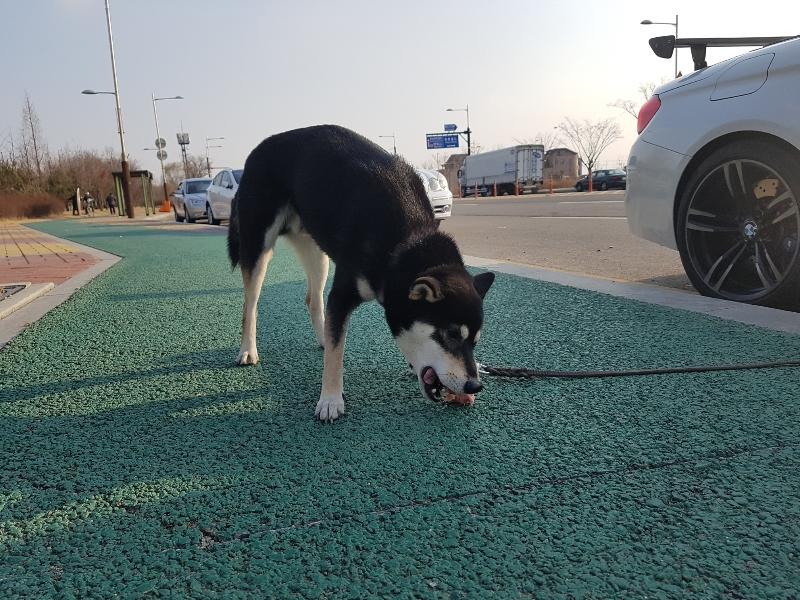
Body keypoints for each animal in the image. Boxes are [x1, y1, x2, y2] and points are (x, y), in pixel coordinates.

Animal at [228, 124, 494, 420]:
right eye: (450, 336)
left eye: (474, 342)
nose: (475, 385)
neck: (406, 239)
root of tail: (257, 151)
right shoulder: (343, 293)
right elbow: (336, 356)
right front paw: (330, 400)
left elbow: (336, 340)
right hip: (258, 244)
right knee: (250, 304)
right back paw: (248, 350)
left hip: (316, 253)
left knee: (313, 300)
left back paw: (322, 337)